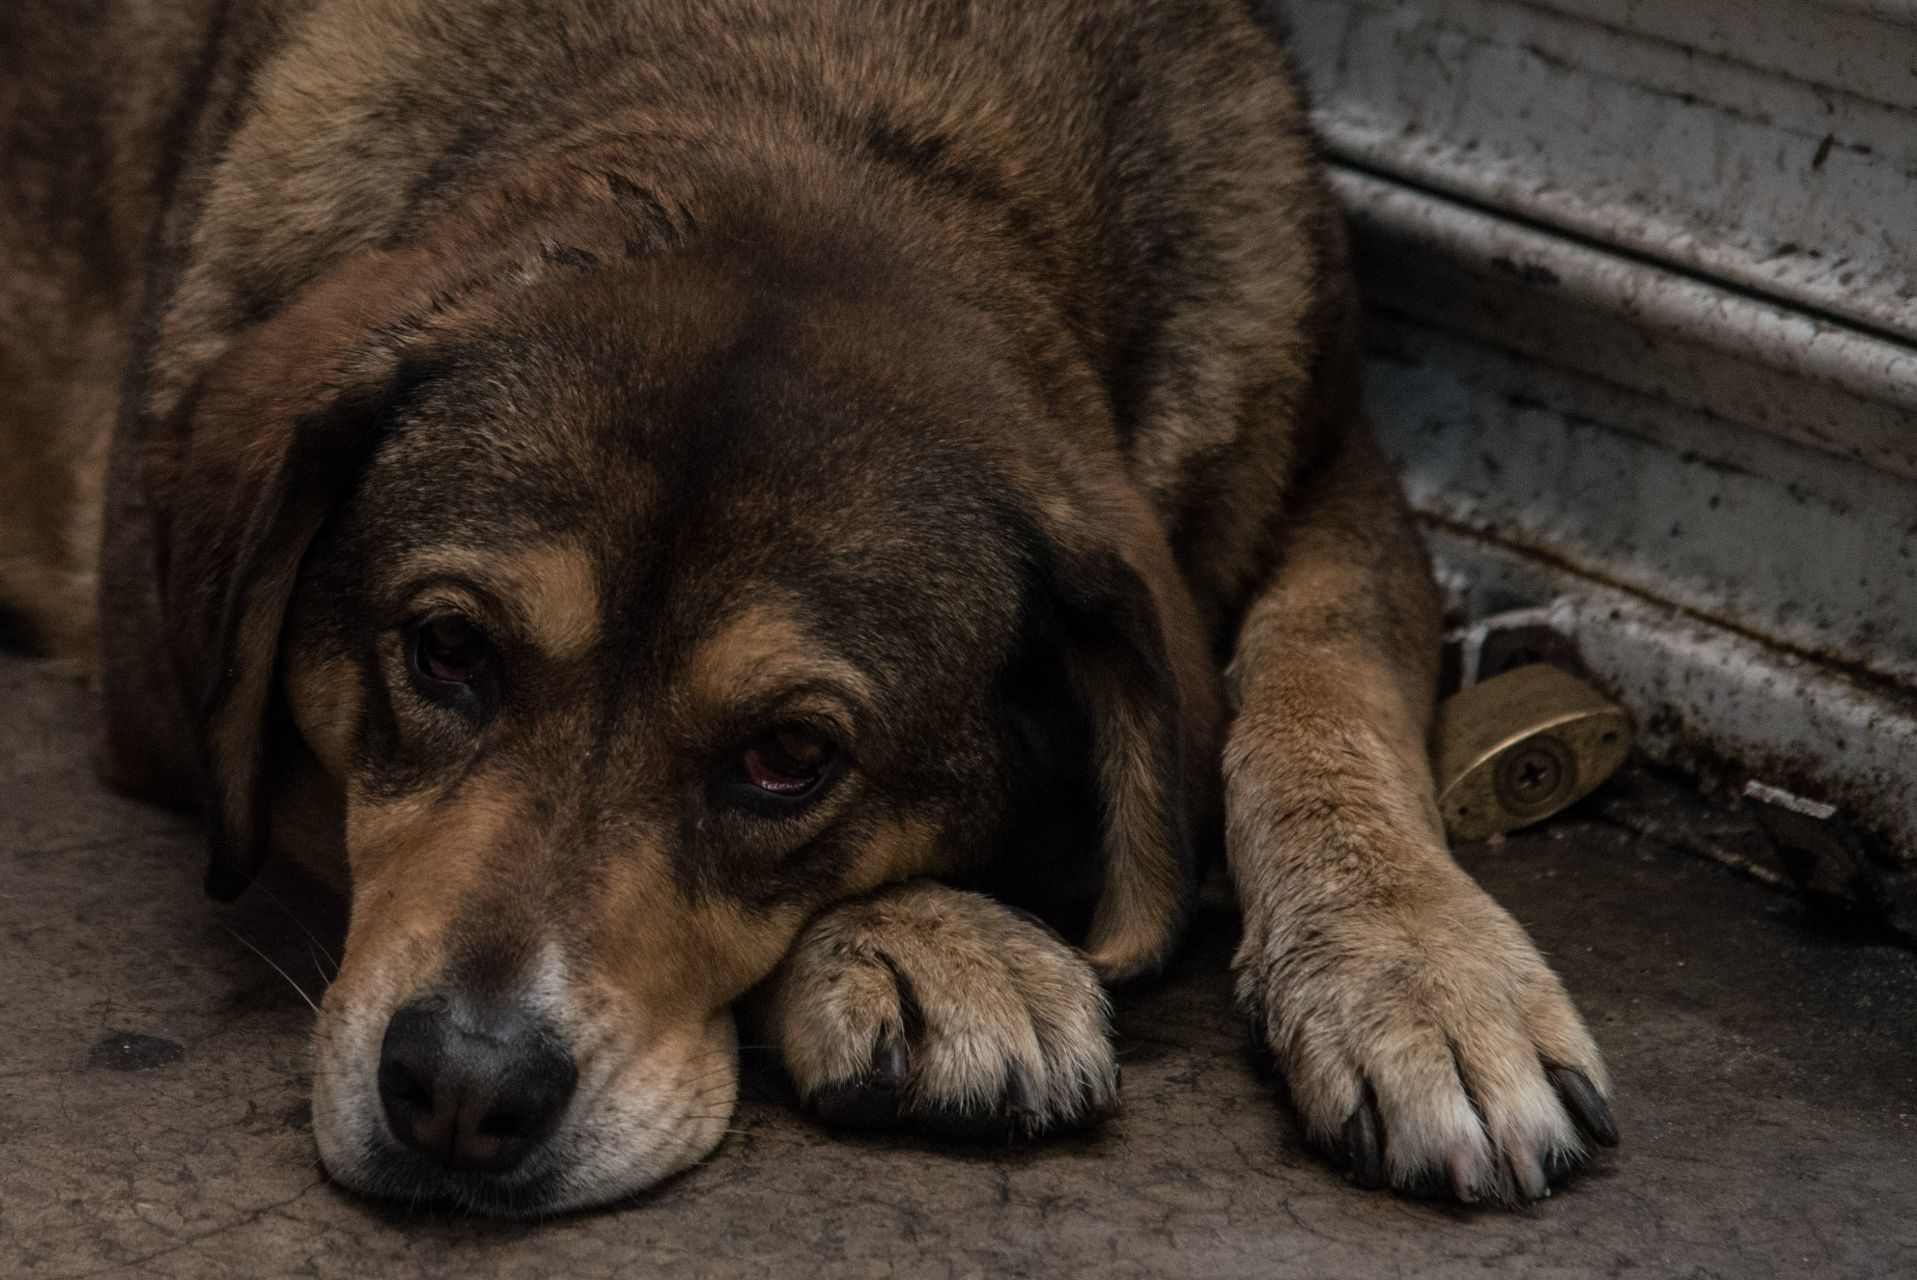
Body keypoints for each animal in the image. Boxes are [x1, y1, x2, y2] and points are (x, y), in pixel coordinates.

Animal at [0, 0, 1617, 1218]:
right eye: (447, 651)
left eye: (789, 758)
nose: (459, 1091)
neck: (816, 85)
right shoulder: (167, 710)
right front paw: (930, 943)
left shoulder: (1330, 460)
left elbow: (1317, 687)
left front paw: (1415, 970)